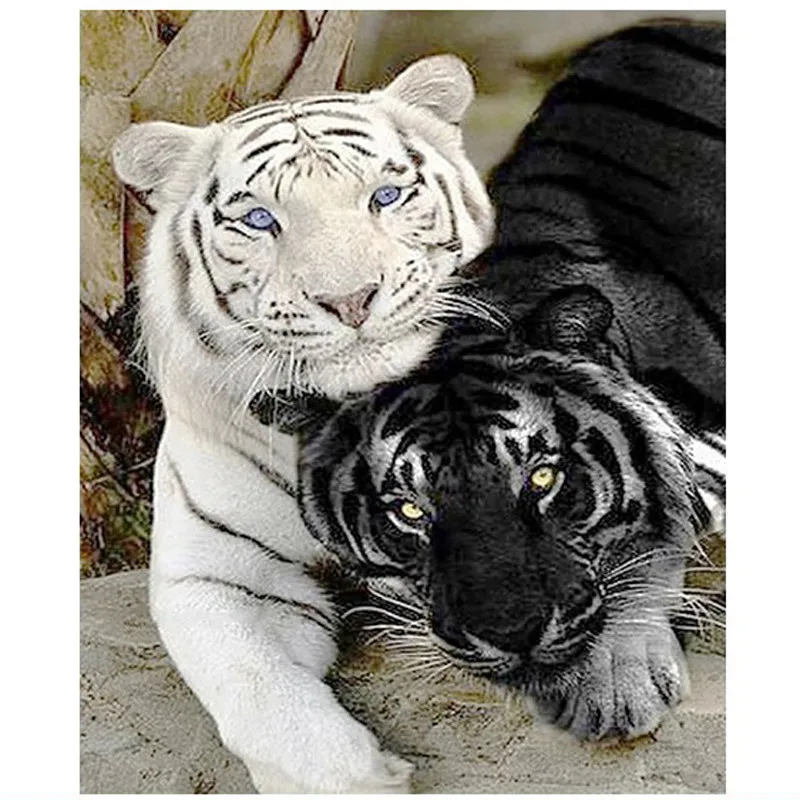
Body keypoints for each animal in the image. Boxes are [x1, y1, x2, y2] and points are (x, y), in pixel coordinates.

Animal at [111, 55, 494, 793]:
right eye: (261, 220)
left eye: (385, 197)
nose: (350, 299)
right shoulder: (215, 575)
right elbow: (255, 687)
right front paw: (356, 778)